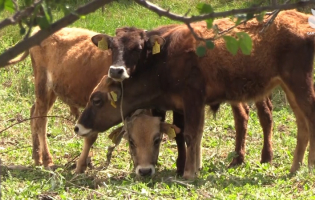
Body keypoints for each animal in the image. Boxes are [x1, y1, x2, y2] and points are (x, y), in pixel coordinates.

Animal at [74, 9, 315, 180]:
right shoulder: (181, 105)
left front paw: (188, 173)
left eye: (97, 100)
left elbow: (190, 135)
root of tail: (304, 20)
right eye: (112, 48)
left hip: (297, 83)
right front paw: (193, 168)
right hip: (288, 87)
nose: (78, 127)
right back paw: (293, 168)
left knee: (304, 117)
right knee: (299, 122)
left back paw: (307, 165)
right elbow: (190, 135)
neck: (163, 59)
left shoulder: (192, 100)